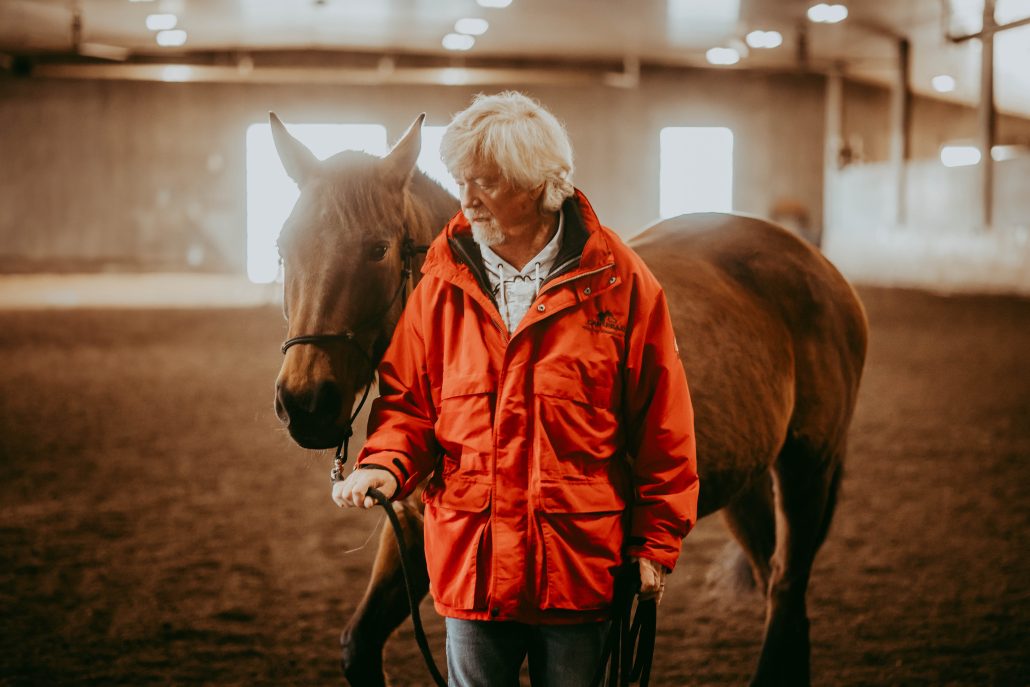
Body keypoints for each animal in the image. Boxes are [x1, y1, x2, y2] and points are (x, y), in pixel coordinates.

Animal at [269, 112, 865, 687]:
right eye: (282, 247)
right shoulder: (416, 530)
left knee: (786, 589)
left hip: (807, 467)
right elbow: (358, 645)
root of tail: (814, 264)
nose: (305, 402)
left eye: (377, 249)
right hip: (746, 480)